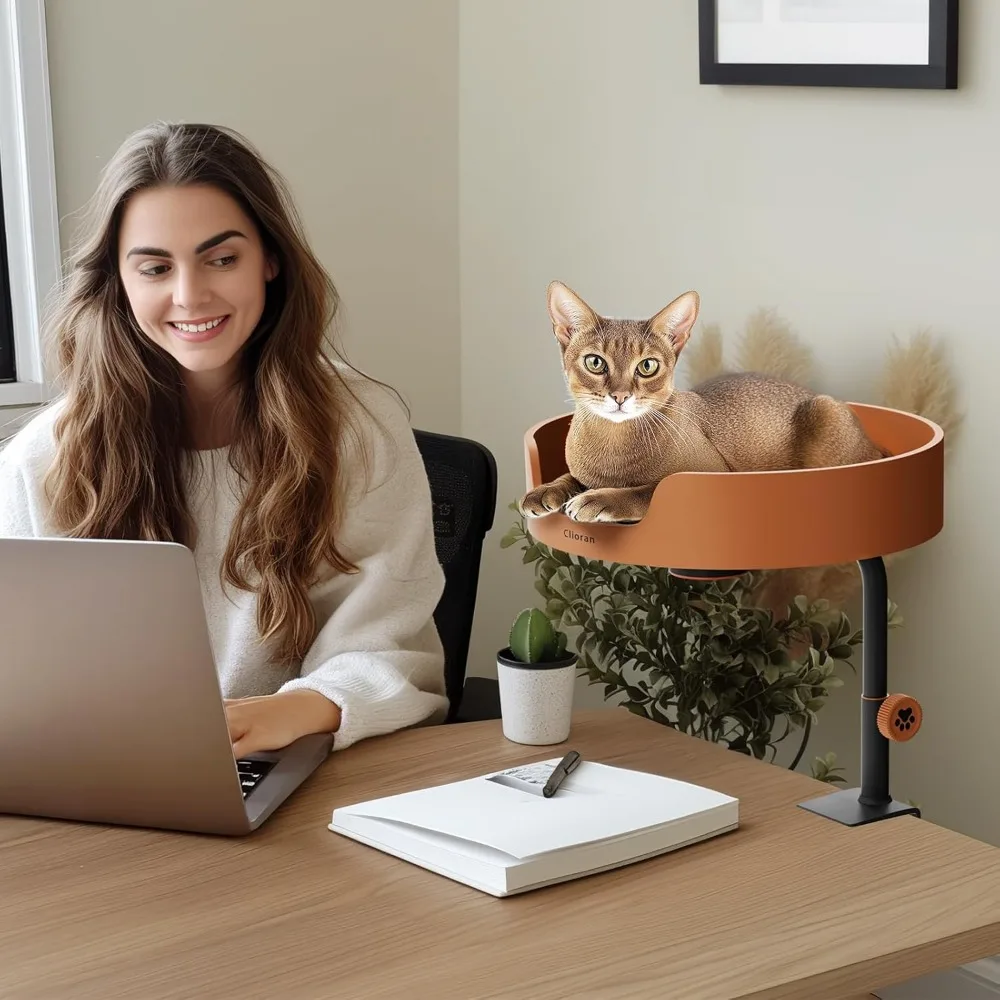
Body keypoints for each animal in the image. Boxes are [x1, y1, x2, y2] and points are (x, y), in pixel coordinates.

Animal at [520, 282, 888, 524]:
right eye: (595, 362)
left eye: (647, 366)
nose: (621, 397)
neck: (613, 444)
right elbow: (570, 475)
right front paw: (547, 490)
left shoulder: (712, 477)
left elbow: (653, 488)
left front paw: (598, 499)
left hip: (823, 411)